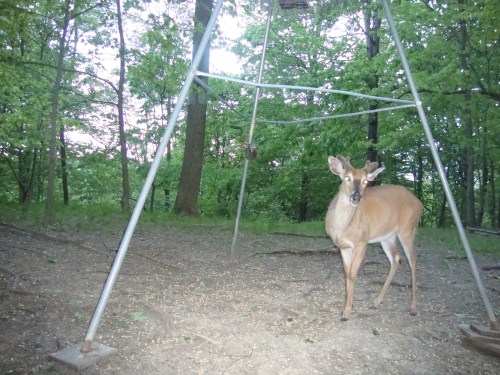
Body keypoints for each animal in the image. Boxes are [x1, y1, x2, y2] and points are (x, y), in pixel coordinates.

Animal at [326, 154, 424, 322]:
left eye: (365, 181)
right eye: (346, 178)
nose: (356, 197)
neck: (342, 228)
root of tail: (420, 203)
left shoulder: (361, 241)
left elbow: (352, 274)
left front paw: (346, 312)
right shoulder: (343, 246)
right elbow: (346, 274)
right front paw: (348, 304)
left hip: (408, 229)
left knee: (413, 261)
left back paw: (413, 307)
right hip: (387, 237)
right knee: (396, 259)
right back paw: (377, 301)